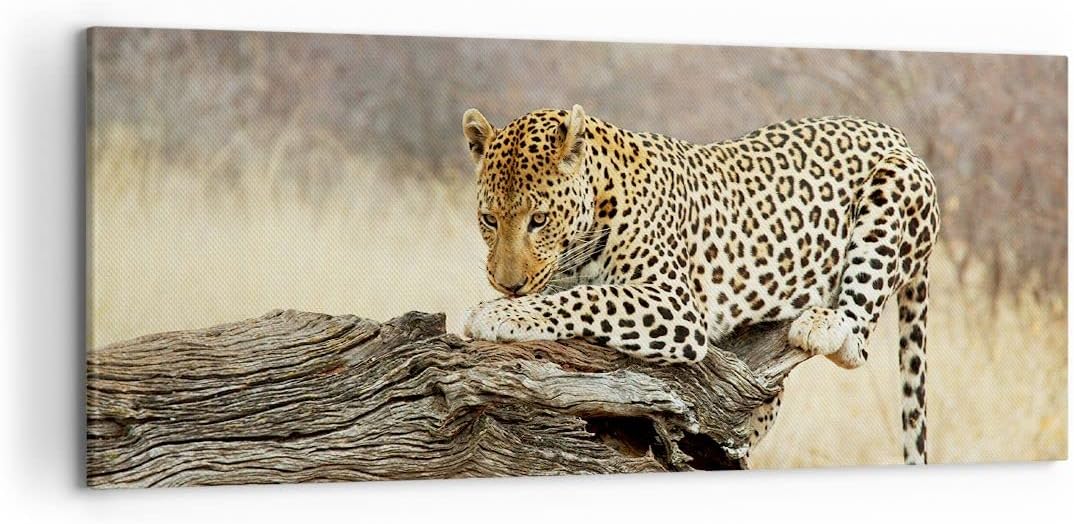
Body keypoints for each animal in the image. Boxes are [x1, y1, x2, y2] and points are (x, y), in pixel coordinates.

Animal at [460, 105, 938, 465]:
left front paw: (498, 313)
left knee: (857, 342)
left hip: (893, 186)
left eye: (539, 220)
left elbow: (588, 298)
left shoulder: (675, 305)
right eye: (488, 220)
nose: (508, 285)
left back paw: (823, 324)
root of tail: (897, 134)